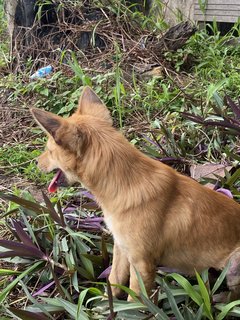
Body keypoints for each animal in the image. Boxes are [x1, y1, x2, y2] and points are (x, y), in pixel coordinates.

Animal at [31, 85, 240, 300]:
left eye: (49, 150)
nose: (35, 162)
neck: (124, 183)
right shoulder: (121, 249)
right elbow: (114, 281)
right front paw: (107, 304)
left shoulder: (142, 264)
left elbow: (136, 300)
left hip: (234, 265)